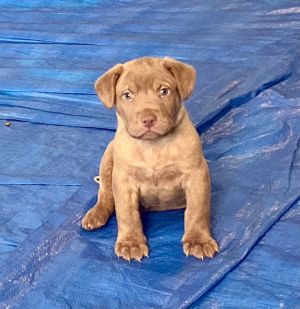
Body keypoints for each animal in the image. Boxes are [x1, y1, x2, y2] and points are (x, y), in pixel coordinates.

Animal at [82, 57, 218, 260]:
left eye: (164, 91)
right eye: (127, 95)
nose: (148, 119)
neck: (153, 147)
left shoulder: (196, 175)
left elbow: (197, 211)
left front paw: (198, 240)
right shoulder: (123, 181)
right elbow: (127, 214)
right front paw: (131, 243)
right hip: (108, 157)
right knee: (105, 193)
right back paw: (96, 214)